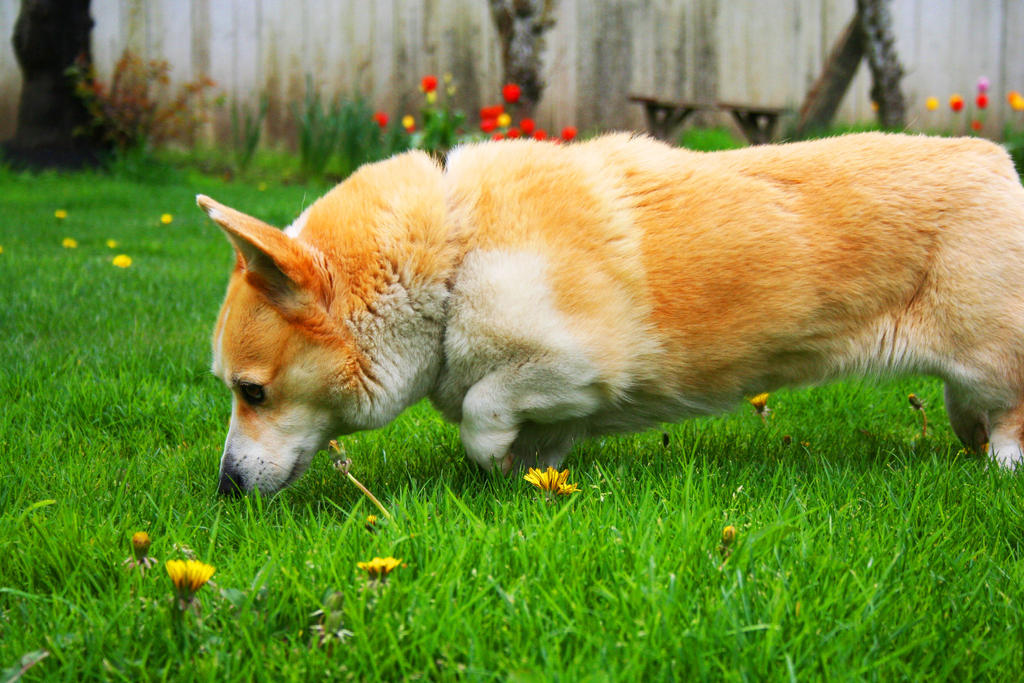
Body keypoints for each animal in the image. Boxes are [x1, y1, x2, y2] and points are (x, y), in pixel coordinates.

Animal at [197, 133, 1024, 493]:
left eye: (253, 391)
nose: (225, 487)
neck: (453, 254)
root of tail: (1000, 162)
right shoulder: (564, 399)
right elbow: (536, 437)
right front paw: (528, 473)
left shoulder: (581, 364)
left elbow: (481, 412)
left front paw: (495, 460)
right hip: (964, 387)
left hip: (988, 364)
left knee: (1010, 414)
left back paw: (1003, 467)